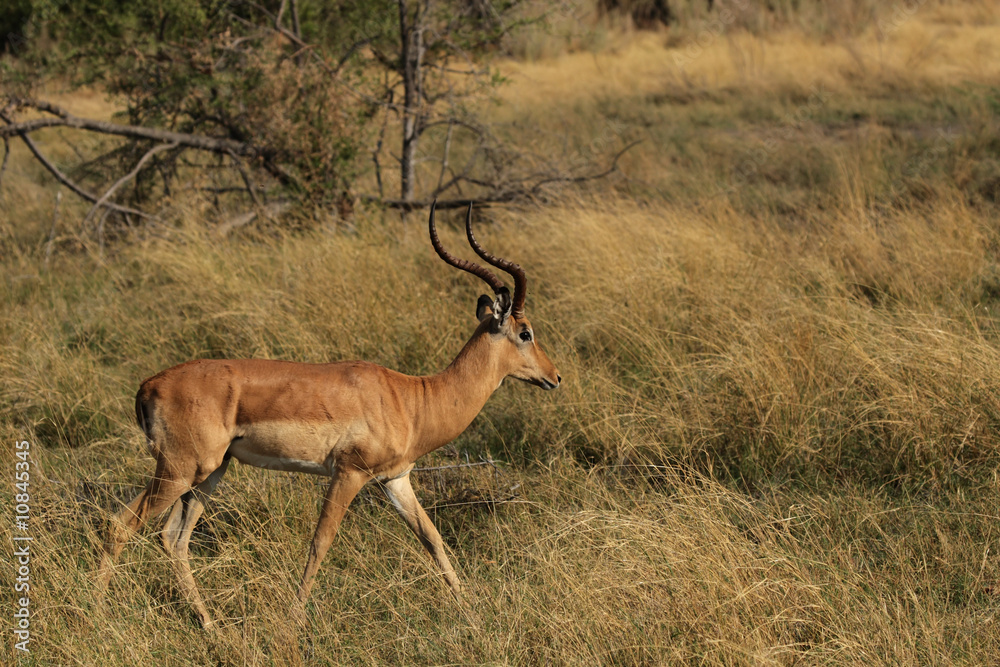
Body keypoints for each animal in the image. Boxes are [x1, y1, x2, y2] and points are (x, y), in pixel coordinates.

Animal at [97, 202, 561, 628]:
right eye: (525, 332)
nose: (554, 377)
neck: (412, 399)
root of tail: (148, 386)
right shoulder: (348, 473)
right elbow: (320, 541)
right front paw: (293, 620)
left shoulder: (396, 480)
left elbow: (432, 538)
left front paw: (473, 612)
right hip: (179, 469)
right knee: (120, 525)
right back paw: (99, 614)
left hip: (209, 473)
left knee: (173, 539)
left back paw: (210, 624)